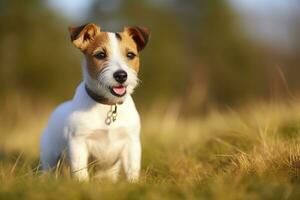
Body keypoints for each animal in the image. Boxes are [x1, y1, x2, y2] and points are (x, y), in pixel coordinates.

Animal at [40, 23, 150, 181]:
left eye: (130, 55)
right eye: (100, 55)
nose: (121, 75)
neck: (108, 104)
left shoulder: (132, 144)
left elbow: (132, 171)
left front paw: (134, 184)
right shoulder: (78, 143)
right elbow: (81, 171)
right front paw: (82, 184)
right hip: (49, 154)